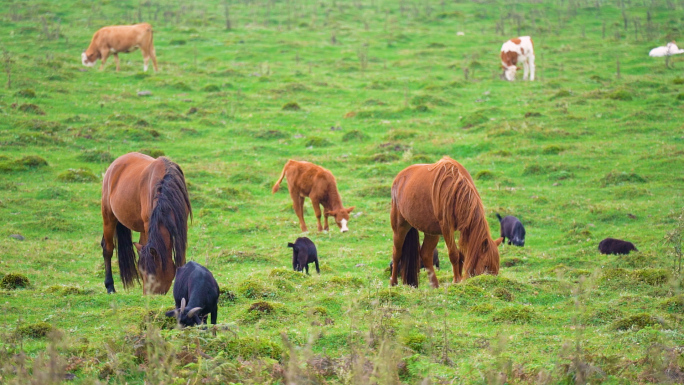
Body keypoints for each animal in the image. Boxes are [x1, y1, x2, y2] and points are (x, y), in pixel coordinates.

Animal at [99, 153, 191, 294]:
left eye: (152, 276)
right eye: (142, 274)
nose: (147, 296)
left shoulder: (182, 225)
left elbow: (182, 256)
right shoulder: (149, 225)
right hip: (109, 217)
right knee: (107, 249)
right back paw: (110, 287)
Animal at [390, 157, 502, 288]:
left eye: (496, 268)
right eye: (486, 266)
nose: (490, 283)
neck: (455, 189)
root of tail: (399, 177)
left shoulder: (462, 228)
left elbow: (462, 255)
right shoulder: (446, 227)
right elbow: (454, 254)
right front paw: (456, 280)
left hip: (431, 232)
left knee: (426, 255)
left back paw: (435, 285)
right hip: (400, 227)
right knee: (396, 253)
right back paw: (393, 283)